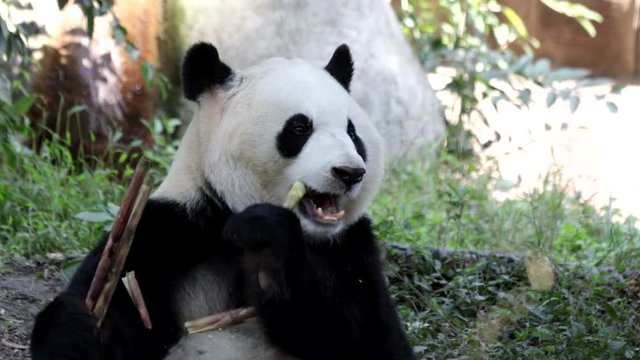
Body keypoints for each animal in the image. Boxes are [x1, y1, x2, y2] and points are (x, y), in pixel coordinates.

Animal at [30, 42, 416, 360]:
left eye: (353, 132)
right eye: (299, 128)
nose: (350, 172)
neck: (229, 212)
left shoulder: (351, 244)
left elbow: (374, 338)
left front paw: (268, 243)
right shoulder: (162, 230)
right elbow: (114, 317)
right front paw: (77, 334)